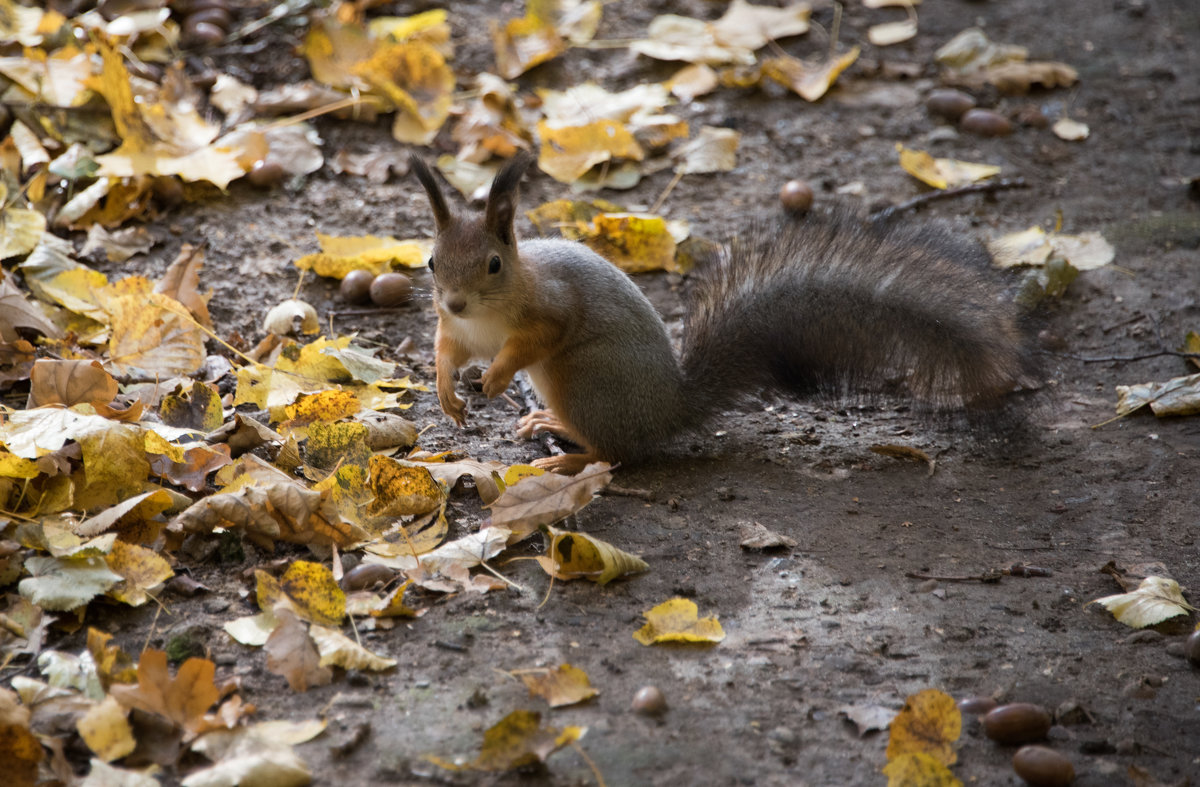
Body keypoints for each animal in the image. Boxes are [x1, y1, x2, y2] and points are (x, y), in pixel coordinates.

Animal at [408, 152, 1036, 472]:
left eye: (493, 264)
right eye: (432, 261)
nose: (455, 299)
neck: (485, 315)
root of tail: (670, 411)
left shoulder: (550, 308)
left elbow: (536, 338)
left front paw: (495, 376)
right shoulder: (456, 329)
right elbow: (444, 349)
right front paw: (446, 392)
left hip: (582, 379)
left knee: (617, 454)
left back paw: (563, 457)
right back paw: (549, 429)